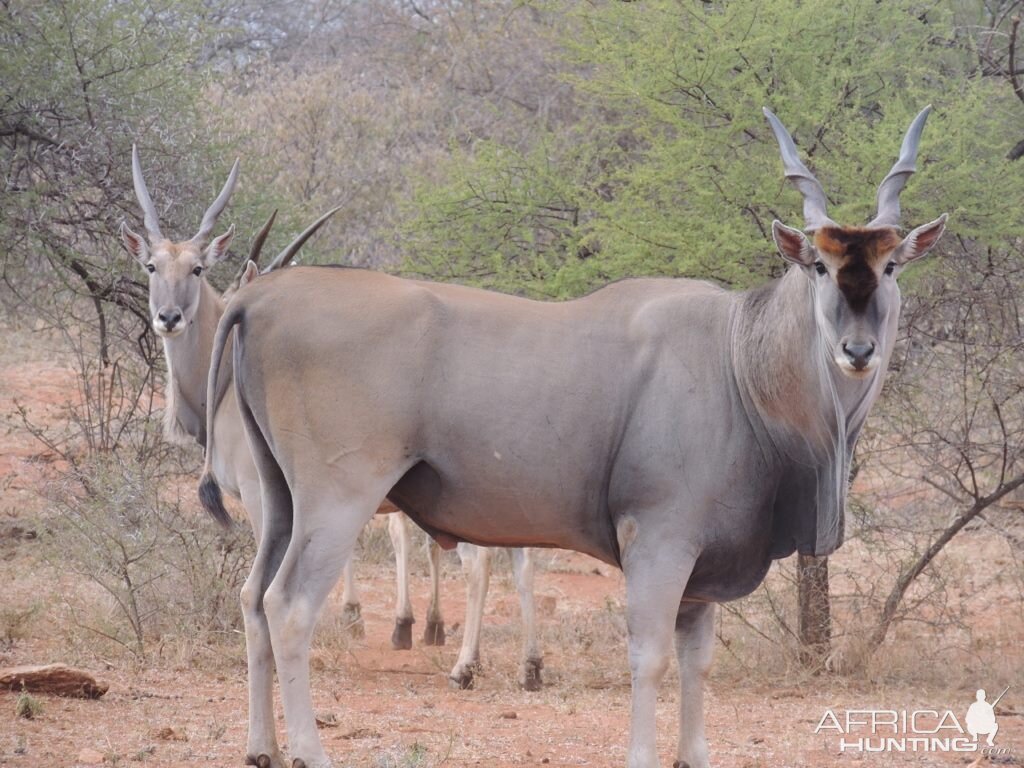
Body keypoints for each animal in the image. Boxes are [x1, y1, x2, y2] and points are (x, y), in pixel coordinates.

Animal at [197, 107, 942, 768]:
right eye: (818, 266)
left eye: (890, 268)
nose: (857, 350)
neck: (740, 360)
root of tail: (260, 299)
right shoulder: (660, 542)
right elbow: (650, 657)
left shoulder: (703, 568)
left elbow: (696, 662)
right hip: (338, 499)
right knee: (289, 605)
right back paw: (307, 751)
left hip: (279, 498)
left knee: (253, 599)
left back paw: (261, 748)